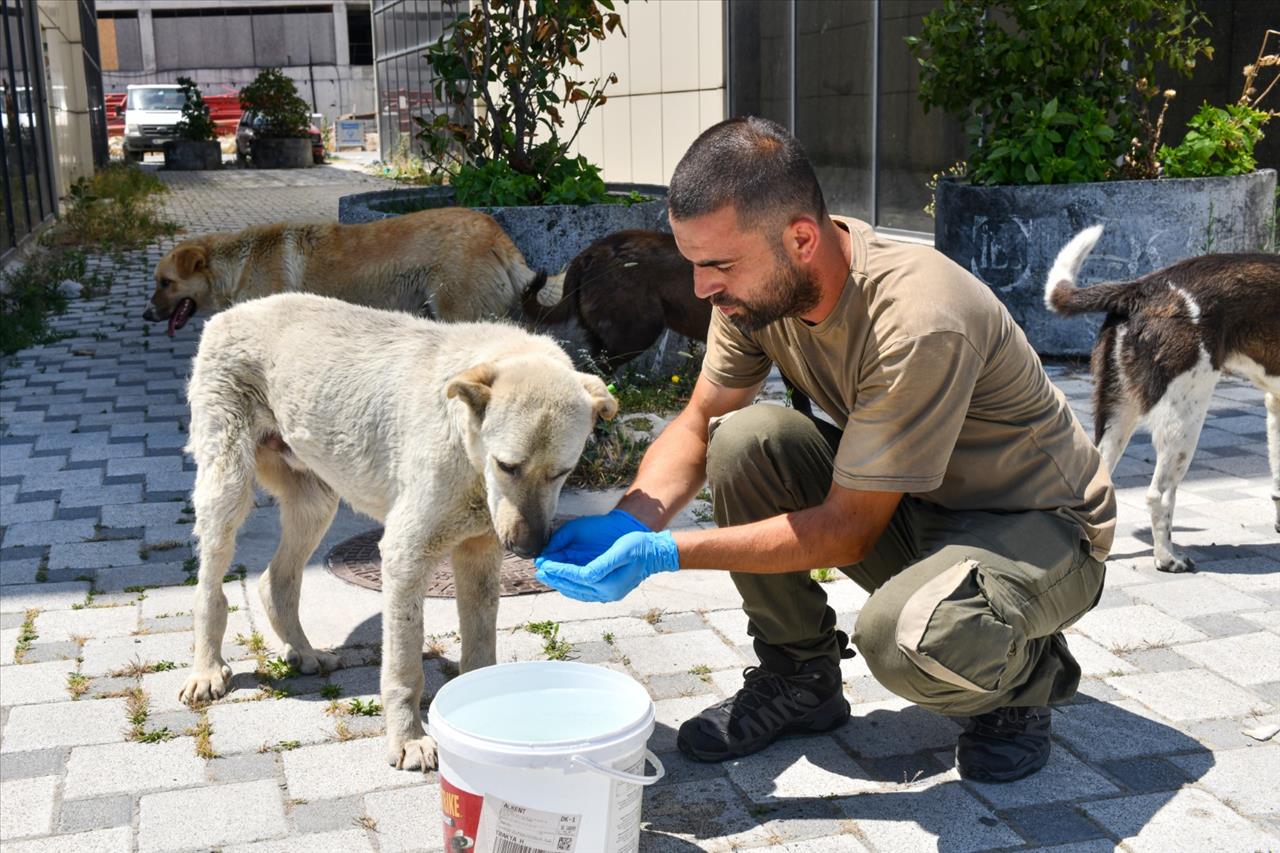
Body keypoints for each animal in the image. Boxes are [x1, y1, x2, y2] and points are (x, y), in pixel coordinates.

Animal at [177, 289, 616, 768]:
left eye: (563, 472)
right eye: (508, 466)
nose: (528, 548)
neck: (467, 451)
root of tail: (233, 310)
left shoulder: (481, 555)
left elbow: (481, 649)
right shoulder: (405, 556)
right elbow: (404, 667)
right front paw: (408, 739)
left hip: (315, 502)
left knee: (276, 580)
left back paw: (305, 653)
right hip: (227, 488)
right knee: (209, 590)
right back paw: (206, 668)